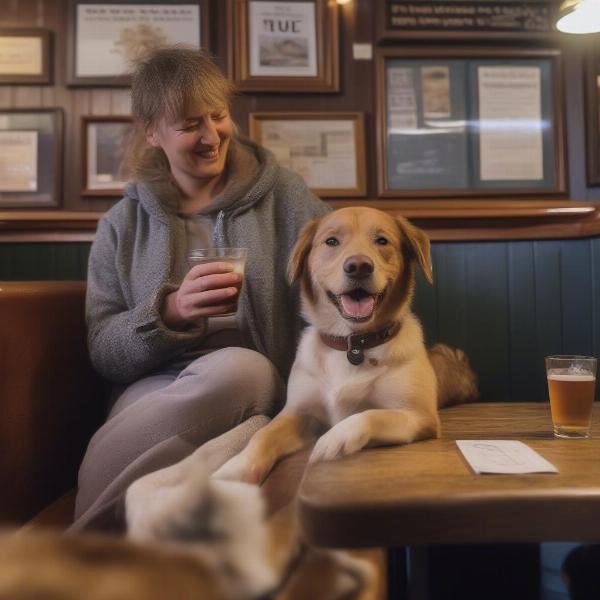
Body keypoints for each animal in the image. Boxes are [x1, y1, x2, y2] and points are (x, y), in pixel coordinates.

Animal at [213, 206, 476, 482]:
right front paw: (236, 468)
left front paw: (335, 438)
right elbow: (262, 435)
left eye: (382, 240)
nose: (358, 266)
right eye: (331, 241)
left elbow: (369, 415)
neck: (353, 343)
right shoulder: (297, 413)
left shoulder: (419, 416)